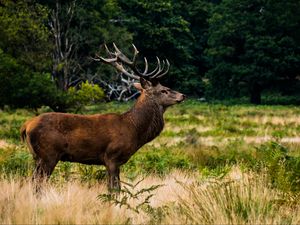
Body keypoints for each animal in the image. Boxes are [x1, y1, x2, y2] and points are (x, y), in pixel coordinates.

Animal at [20, 44, 185, 192]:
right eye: (164, 90)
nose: (182, 95)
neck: (133, 129)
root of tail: (26, 126)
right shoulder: (112, 157)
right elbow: (114, 189)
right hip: (48, 154)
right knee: (38, 184)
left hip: (38, 157)